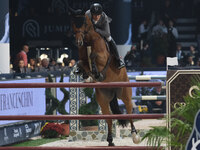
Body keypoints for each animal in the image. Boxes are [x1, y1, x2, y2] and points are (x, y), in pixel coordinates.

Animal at [69, 8, 140, 146]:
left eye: (84, 24)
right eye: (73, 25)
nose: (79, 42)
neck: (88, 41)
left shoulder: (102, 58)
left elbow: (94, 56)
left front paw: (95, 73)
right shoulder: (82, 58)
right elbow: (81, 62)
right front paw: (88, 75)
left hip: (125, 94)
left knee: (129, 113)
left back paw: (135, 136)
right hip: (103, 100)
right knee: (109, 119)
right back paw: (110, 140)